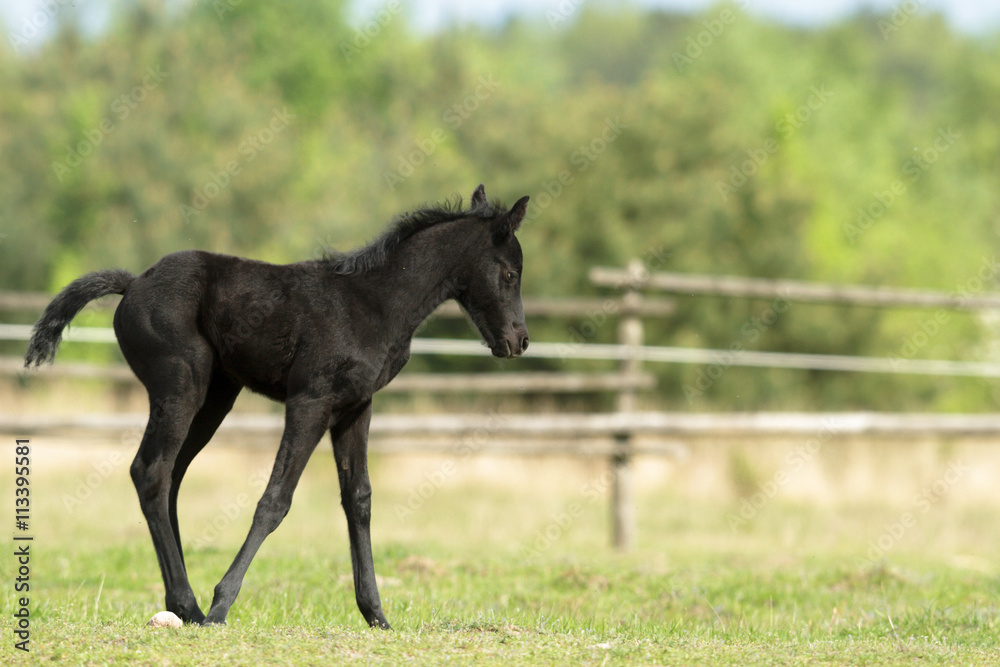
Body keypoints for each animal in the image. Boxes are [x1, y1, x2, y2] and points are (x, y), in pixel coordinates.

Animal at [24, 184, 530, 629]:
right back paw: (191, 603)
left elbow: (359, 499)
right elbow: (275, 499)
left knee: (170, 477)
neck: (374, 303)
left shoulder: (356, 407)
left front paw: (377, 616)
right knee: (151, 472)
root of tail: (132, 284)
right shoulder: (310, 401)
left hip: (214, 400)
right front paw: (221, 606)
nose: (518, 341)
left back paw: (181, 603)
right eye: (510, 274)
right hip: (181, 388)